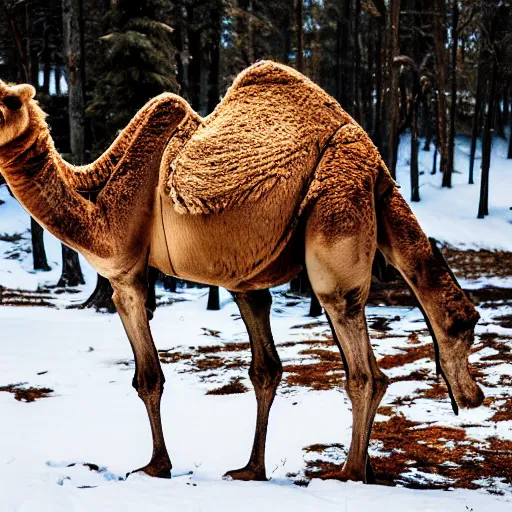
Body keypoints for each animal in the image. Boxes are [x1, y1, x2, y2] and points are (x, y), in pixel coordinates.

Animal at [0, 61, 484, 484]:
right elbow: (265, 370)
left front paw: (156, 467)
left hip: (336, 206)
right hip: (361, 199)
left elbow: (148, 377)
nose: (474, 396)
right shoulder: (245, 283)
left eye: (7, 100)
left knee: (362, 364)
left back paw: (347, 473)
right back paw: (362, 466)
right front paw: (252, 470)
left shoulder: (125, 273)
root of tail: (376, 160)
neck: (98, 201)